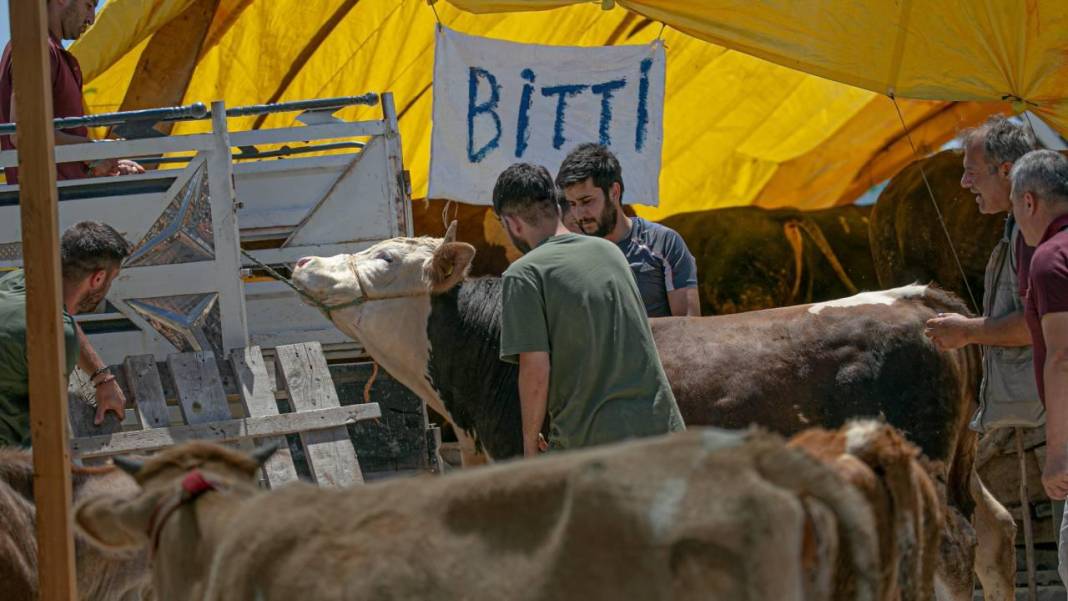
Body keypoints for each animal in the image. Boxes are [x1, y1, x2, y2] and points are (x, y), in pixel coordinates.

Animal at [290, 228, 1016, 597]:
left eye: (385, 256)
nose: (302, 260)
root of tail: (919, 299)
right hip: (961, 466)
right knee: (997, 531)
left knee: (952, 552)